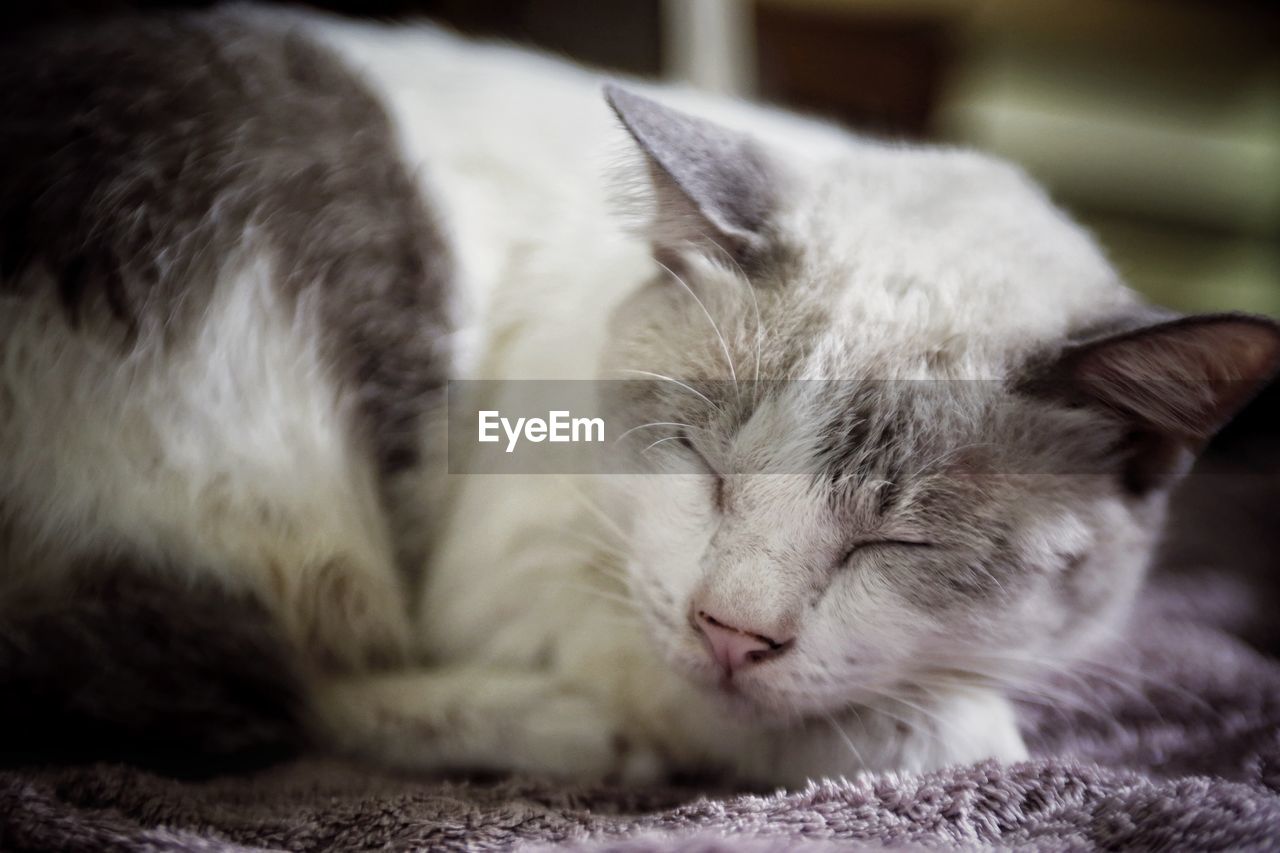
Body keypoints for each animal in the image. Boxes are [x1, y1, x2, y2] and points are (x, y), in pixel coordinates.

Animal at [2, 3, 1280, 778]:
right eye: (700, 463)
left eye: (897, 545)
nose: (732, 632)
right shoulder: (525, 577)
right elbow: (796, 718)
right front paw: (931, 727)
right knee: (223, 688)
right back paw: (565, 736)